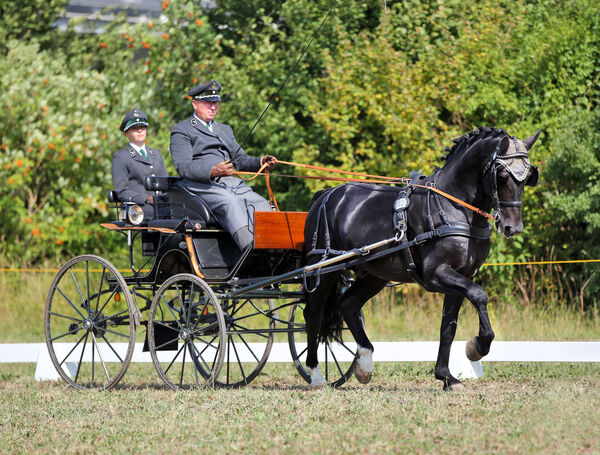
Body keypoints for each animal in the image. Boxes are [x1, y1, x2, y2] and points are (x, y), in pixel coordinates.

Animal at [302, 126, 540, 390]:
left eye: (528, 177)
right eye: (502, 175)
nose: (512, 227)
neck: (452, 205)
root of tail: (327, 194)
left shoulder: (462, 276)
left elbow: (448, 328)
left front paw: (447, 376)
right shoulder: (436, 274)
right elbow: (479, 295)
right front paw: (476, 347)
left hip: (375, 275)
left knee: (348, 305)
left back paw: (364, 365)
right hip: (322, 269)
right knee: (313, 314)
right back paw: (316, 375)